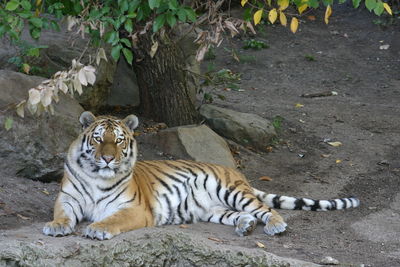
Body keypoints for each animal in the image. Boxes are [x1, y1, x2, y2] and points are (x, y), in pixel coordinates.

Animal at [43, 112, 360, 242]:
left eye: (119, 140)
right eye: (98, 139)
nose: (108, 158)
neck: (97, 175)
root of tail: (236, 170)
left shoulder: (132, 208)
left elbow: (112, 219)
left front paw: (97, 229)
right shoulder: (67, 199)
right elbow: (62, 214)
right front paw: (56, 227)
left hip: (233, 191)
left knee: (265, 209)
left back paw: (276, 226)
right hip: (215, 209)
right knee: (244, 215)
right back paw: (245, 226)